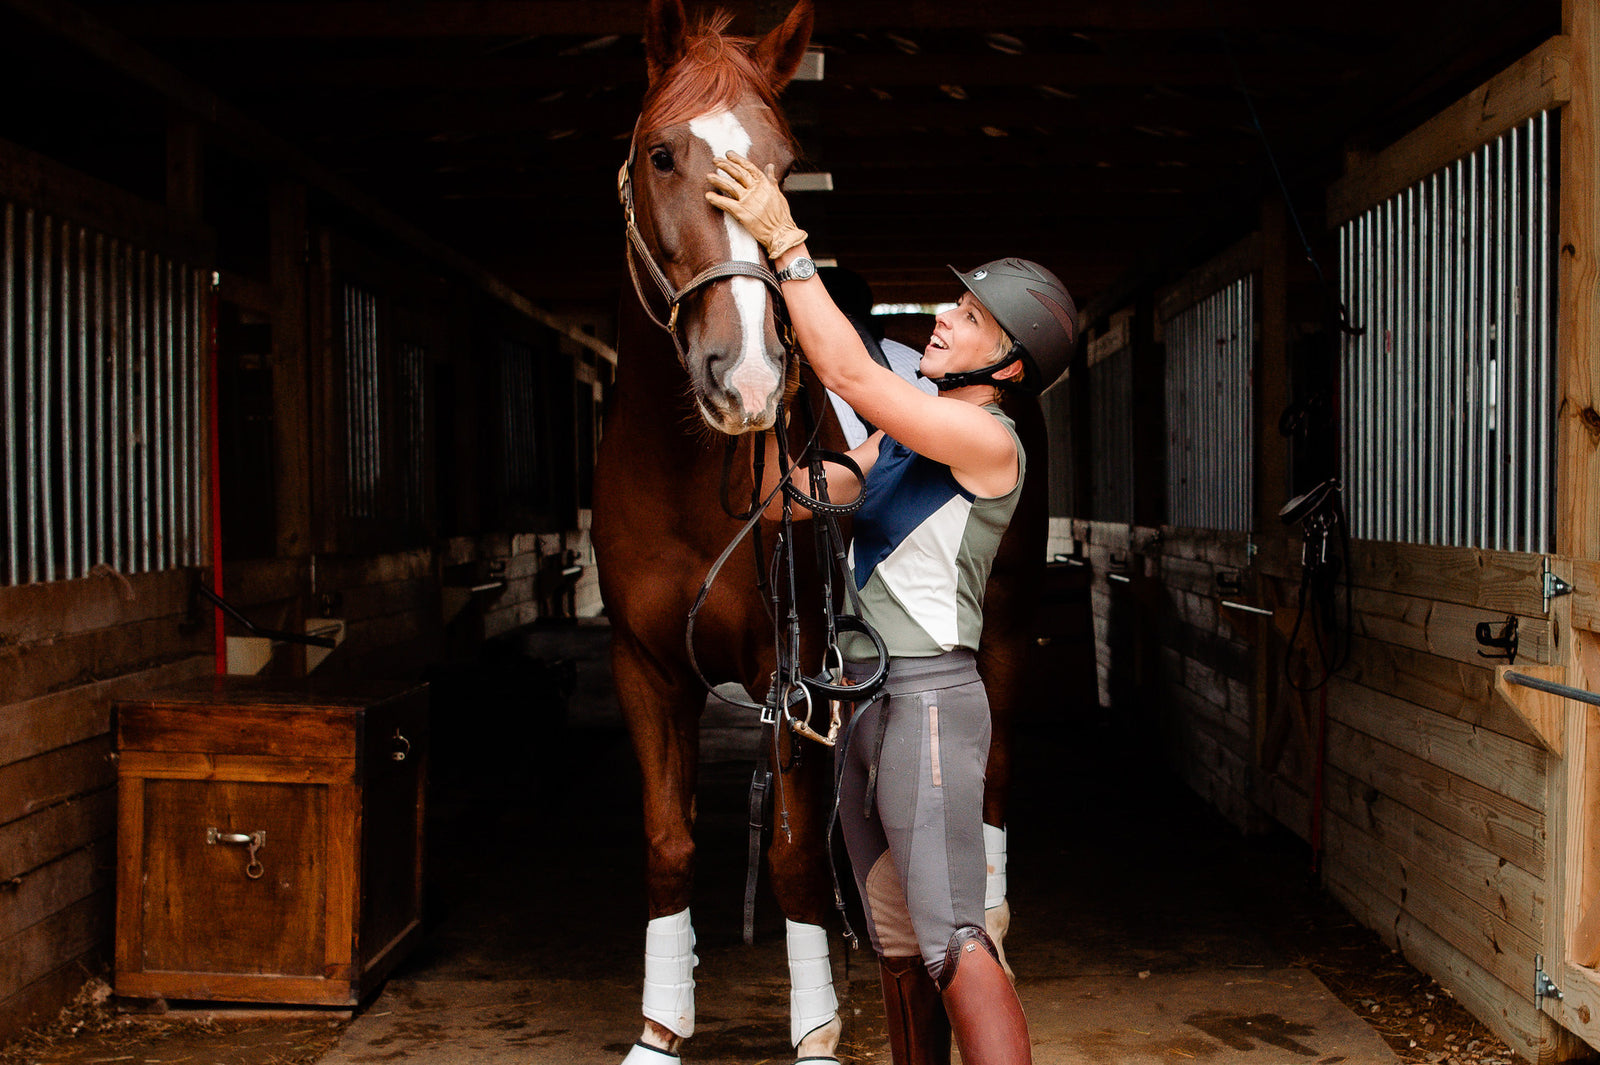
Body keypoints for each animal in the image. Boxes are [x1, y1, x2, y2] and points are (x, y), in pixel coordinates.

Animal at [592, 4, 1049, 1055]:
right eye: (661, 153)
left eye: (781, 160)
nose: (751, 378)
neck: (693, 483)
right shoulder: (645, 665)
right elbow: (668, 844)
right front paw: (660, 1028)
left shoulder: (790, 670)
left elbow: (795, 858)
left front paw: (817, 1034)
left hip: (1003, 632)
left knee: (991, 780)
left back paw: (993, 923)